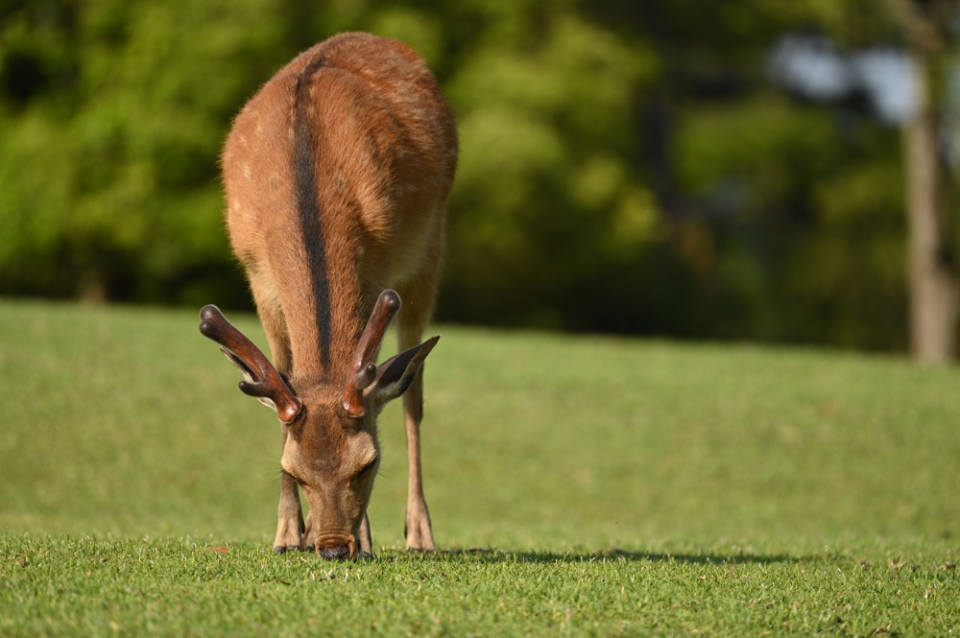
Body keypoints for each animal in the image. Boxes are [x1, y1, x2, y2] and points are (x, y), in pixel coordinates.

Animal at [196, 32, 458, 564]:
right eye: (291, 470)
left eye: (368, 464)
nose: (335, 547)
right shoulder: (257, 274)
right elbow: (280, 375)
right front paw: (287, 532)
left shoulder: (379, 268)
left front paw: (368, 539)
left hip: (431, 248)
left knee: (413, 394)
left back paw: (420, 534)